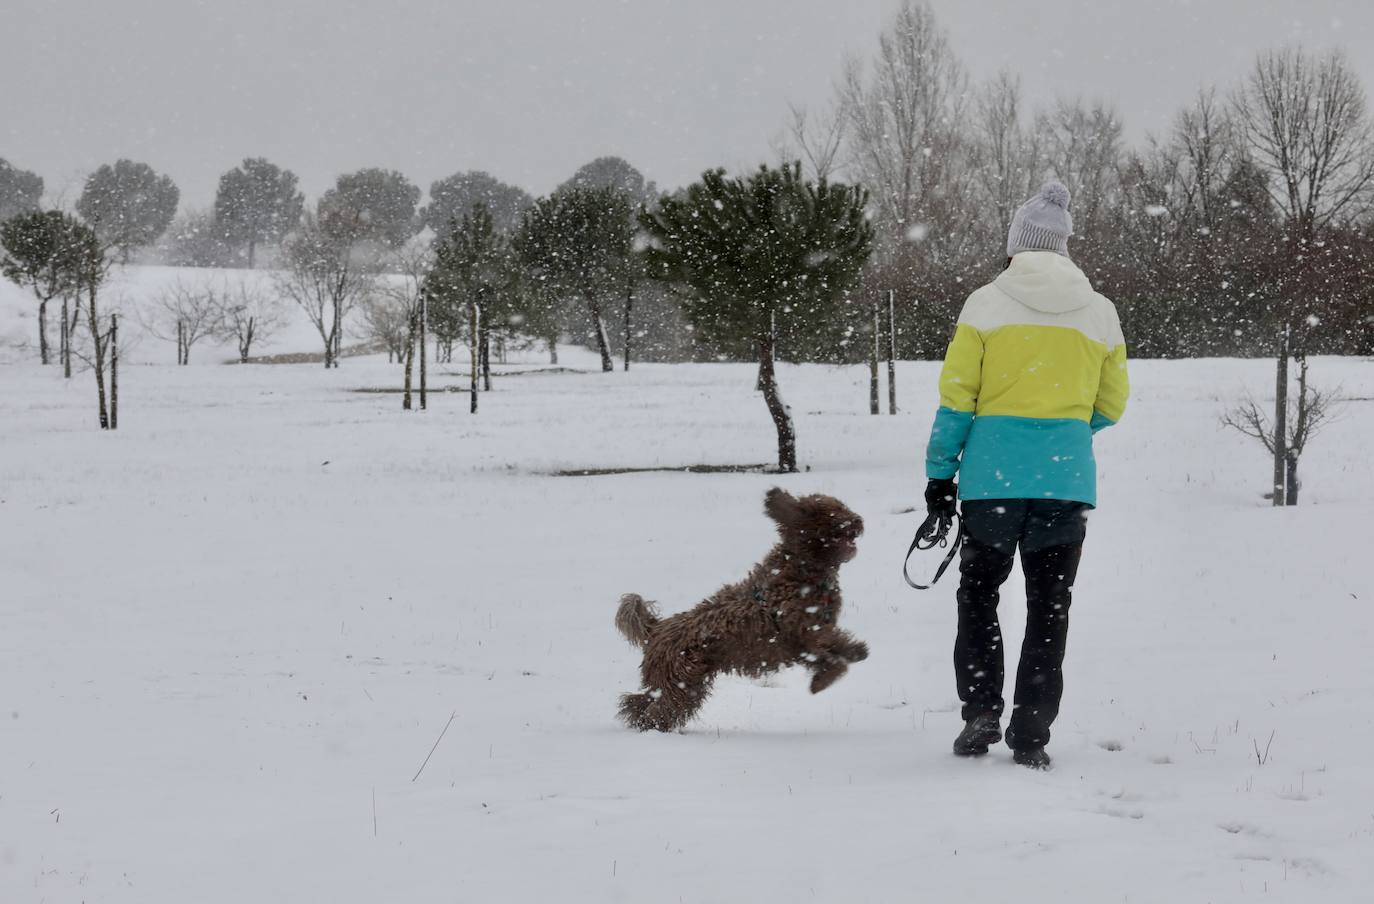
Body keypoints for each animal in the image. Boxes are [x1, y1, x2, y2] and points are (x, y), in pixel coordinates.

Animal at [615, 483, 862, 730]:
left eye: (841, 506)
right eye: (823, 512)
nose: (857, 520)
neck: (801, 568)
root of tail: (656, 629)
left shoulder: (804, 639)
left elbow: (832, 647)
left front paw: (851, 654)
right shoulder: (800, 629)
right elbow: (828, 648)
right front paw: (828, 676)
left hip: (680, 681)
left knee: (640, 702)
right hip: (680, 681)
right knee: (658, 708)